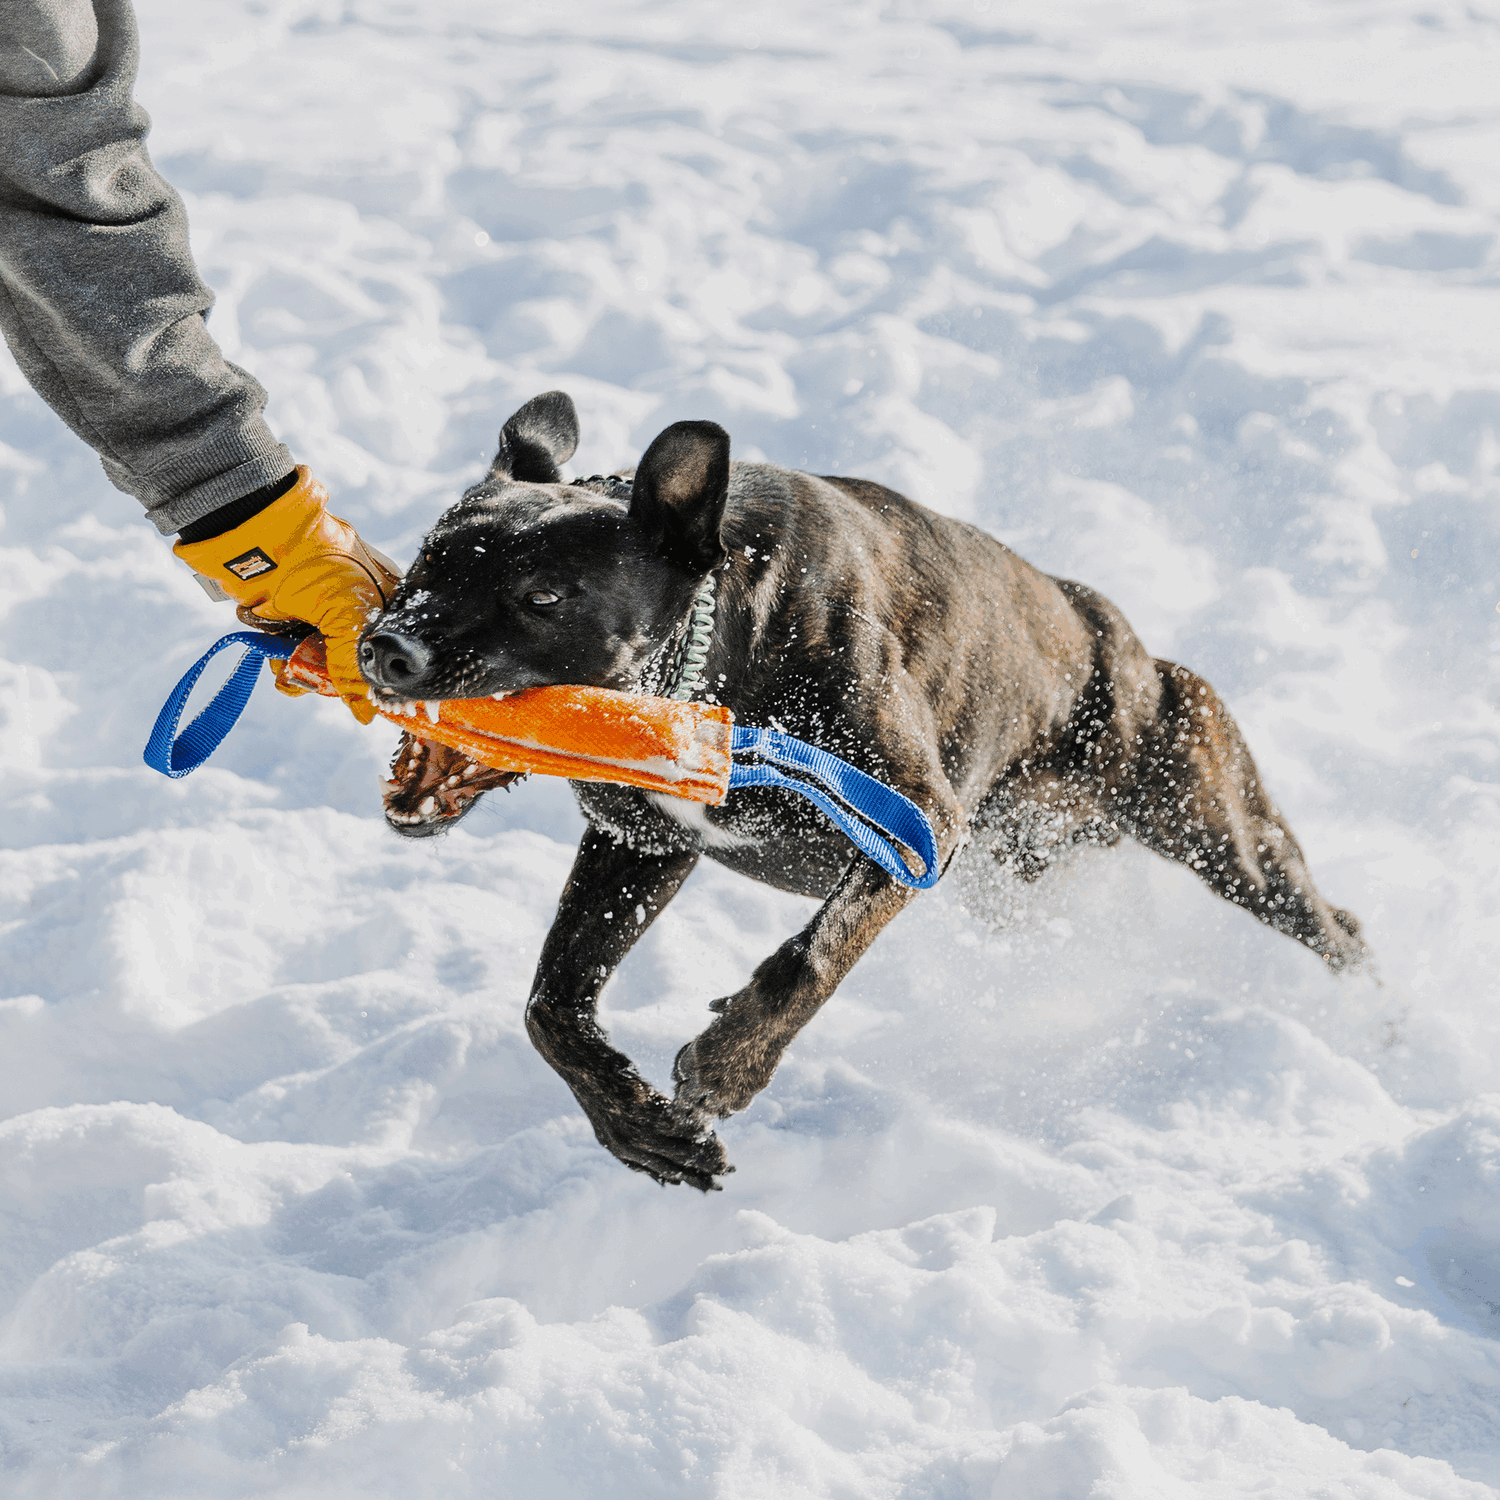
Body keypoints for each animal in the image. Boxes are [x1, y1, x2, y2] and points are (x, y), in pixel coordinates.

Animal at [357, 393, 1368, 1188]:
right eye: (427, 559)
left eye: (544, 597)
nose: (388, 646)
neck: (714, 660)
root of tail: (1115, 634)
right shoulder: (643, 845)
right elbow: (552, 1003)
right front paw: (642, 1131)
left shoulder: (914, 825)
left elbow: (812, 958)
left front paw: (727, 1067)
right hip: (1019, 880)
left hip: (1219, 832)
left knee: (1335, 929)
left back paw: (1379, 1027)